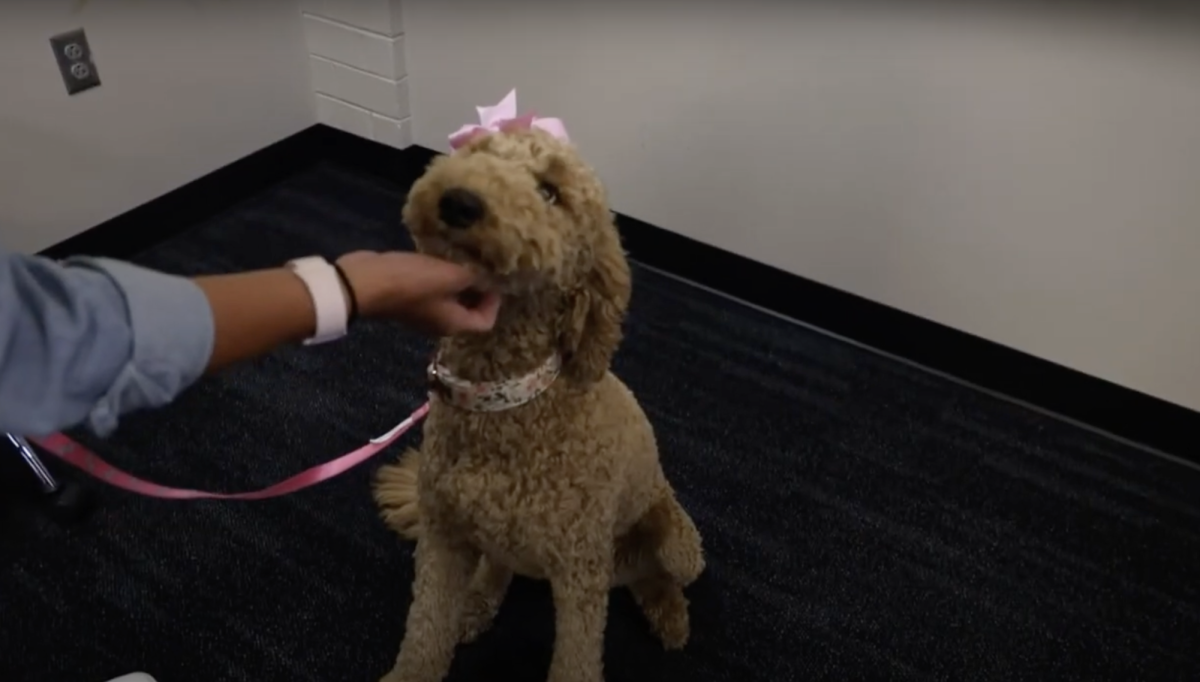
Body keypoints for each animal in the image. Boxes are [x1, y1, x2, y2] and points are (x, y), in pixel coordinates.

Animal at [374, 91, 705, 682]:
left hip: (678, 546)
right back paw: (478, 603)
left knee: (657, 575)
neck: (505, 399)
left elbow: (576, 660)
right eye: (477, 152)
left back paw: (669, 615)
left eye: (550, 192)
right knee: (501, 566)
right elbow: (425, 631)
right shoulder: (442, 539)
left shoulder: (580, 574)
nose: (459, 201)